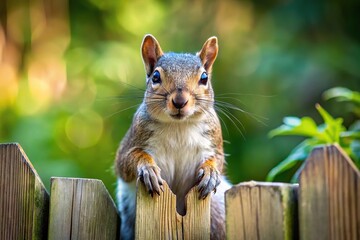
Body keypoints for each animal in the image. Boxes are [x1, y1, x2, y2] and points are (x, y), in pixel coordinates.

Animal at [116, 34, 233, 239]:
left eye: (204, 78)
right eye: (155, 77)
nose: (179, 101)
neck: (179, 126)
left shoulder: (213, 141)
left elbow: (217, 160)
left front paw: (211, 172)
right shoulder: (132, 140)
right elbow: (126, 161)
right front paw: (148, 168)